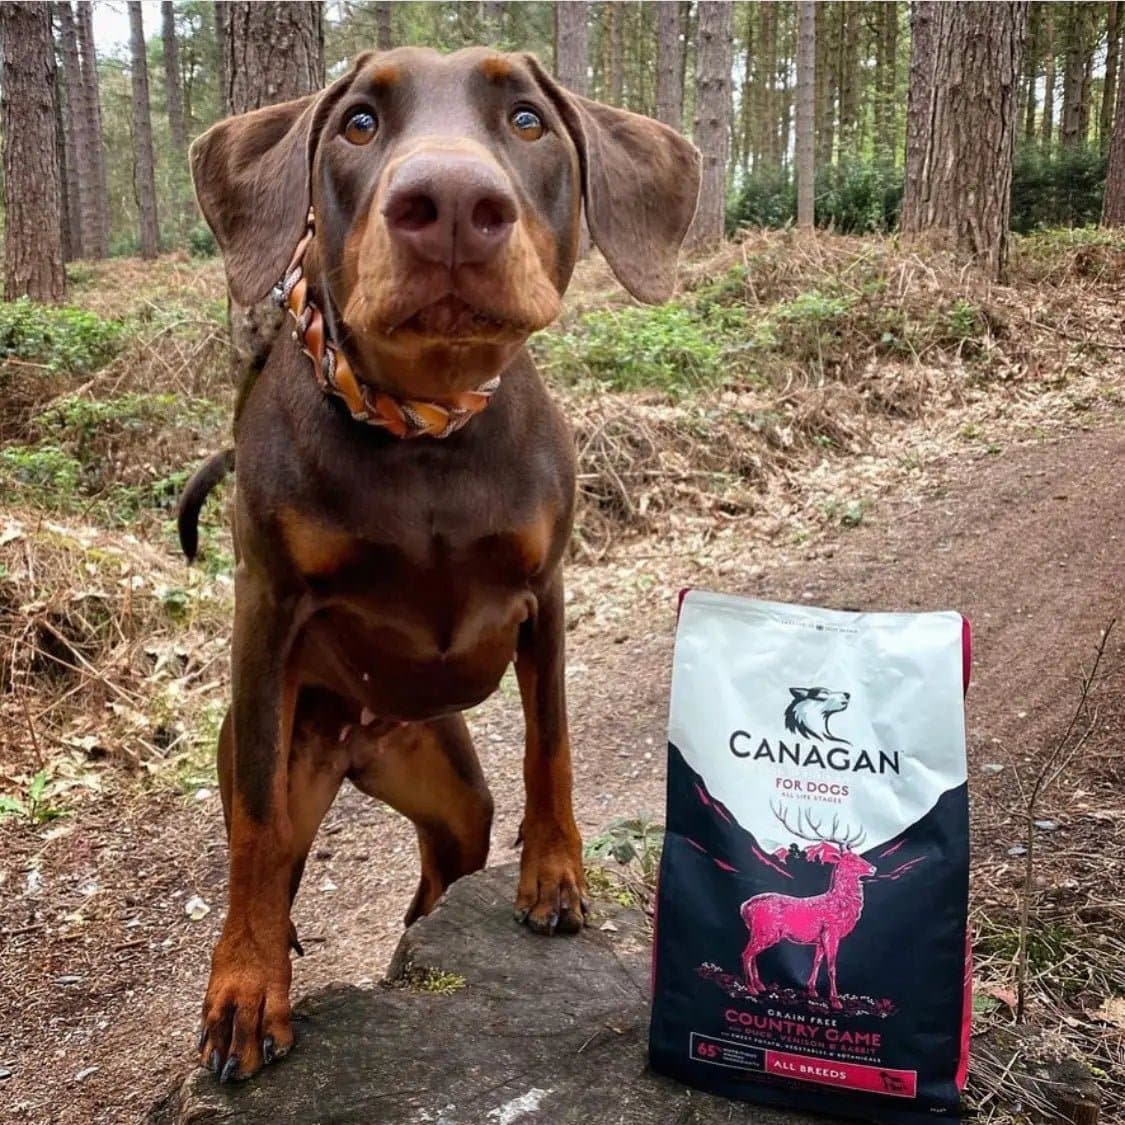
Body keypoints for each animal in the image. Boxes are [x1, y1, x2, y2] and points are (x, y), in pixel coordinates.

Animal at [180, 48, 697, 1084]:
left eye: (529, 120)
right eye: (359, 123)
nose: (452, 202)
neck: (423, 426)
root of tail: (363, 739)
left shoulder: (545, 594)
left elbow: (551, 742)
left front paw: (554, 873)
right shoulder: (266, 610)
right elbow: (253, 828)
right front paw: (246, 986)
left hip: (454, 794)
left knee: (434, 874)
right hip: (304, 762)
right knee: (278, 855)